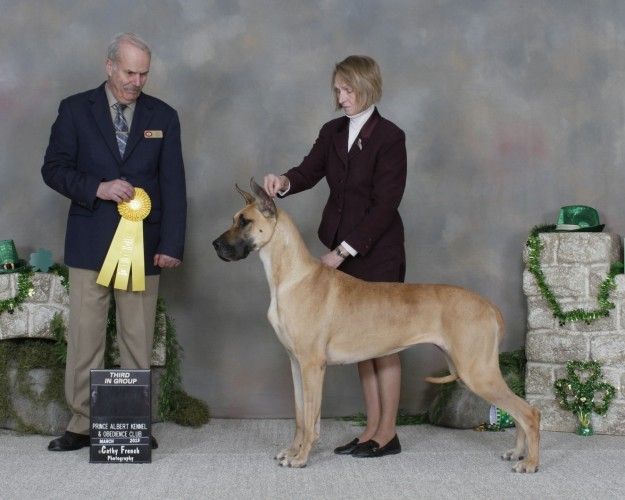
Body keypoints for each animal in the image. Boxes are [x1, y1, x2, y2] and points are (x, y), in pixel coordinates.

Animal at [212, 179, 540, 472]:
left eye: (245, 222)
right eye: (234, 220)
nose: (214, 244)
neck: (289, 277)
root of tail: (490, 306)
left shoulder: (312, 366)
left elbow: (311, 418)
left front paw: (301, 458)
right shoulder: (295, 363)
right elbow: (300, 416)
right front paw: (292, 451)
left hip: (477, 371)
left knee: (529, 412)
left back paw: (530, 463)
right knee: (519, 411)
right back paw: (517, 453)